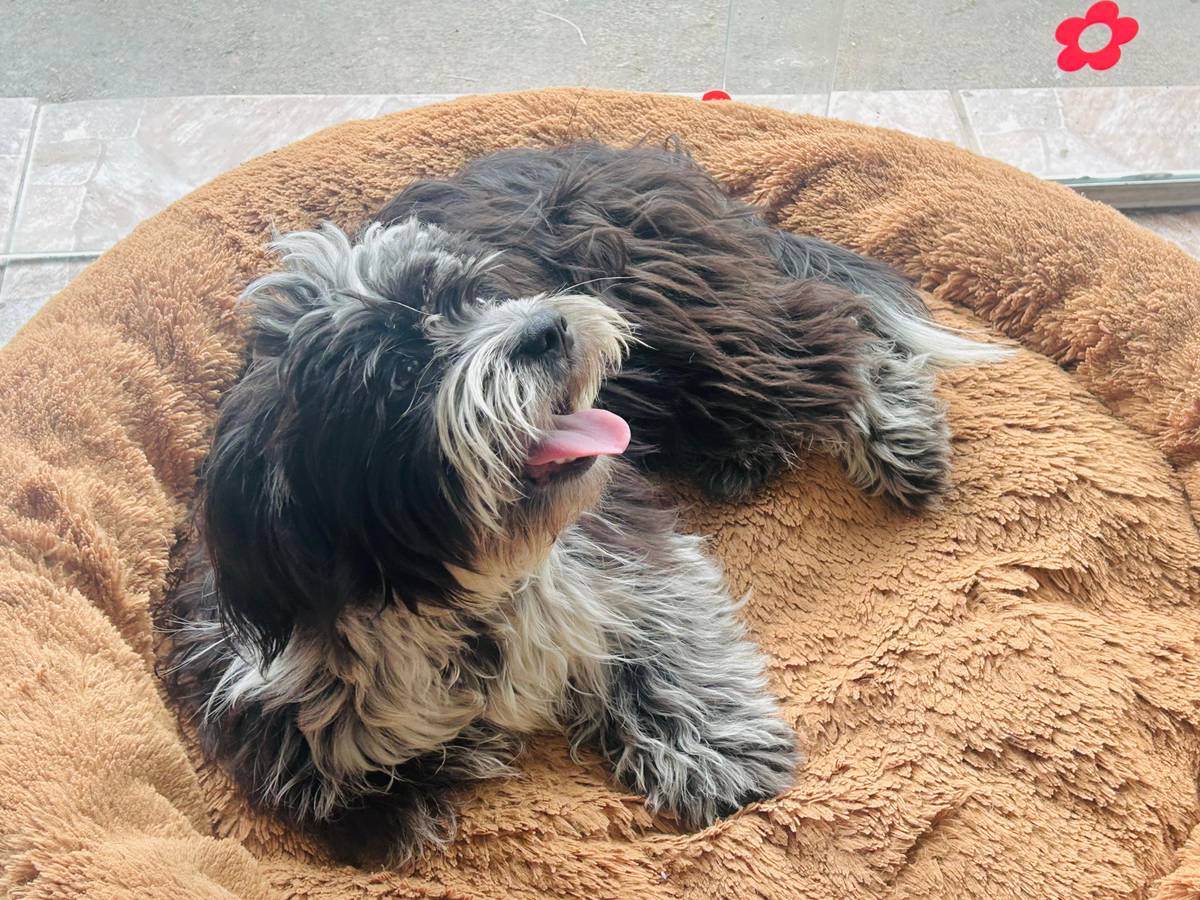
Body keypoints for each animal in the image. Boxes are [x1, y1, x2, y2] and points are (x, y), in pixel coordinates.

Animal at [161, 143, 1006, 868]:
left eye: (472, 294)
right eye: (397, 371)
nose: (546, 327)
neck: (455, 585)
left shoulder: (619, 546)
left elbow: (666, 637)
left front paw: (715, 751)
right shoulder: (261, 711)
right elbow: (355, 786)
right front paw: (451, 757)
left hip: (702, 327)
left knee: (833, 328)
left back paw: (897, 434)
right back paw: (748, 457)